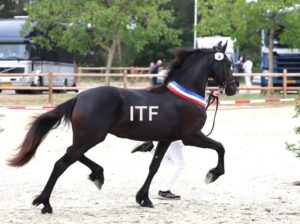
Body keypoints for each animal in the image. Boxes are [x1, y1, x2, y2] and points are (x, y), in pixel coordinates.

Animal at [8, 42, 237, 214]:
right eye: (226, 63)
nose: (233, 88)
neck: (183, 96)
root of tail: (80, 97)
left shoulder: (166, 139)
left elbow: (154, 167)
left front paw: (143, 198)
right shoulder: (191, 136)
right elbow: (221, 147)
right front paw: (213, 174)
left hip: (86, 138)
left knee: (71, 154)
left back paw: (97, 175)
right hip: (91, 137)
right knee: (61, 163)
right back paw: (45, 203)